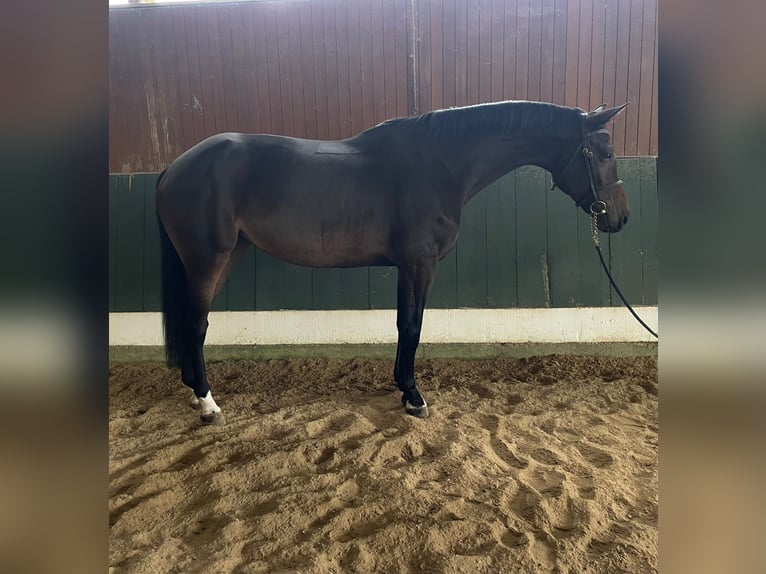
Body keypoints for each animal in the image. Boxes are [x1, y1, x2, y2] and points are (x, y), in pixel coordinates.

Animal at [154, 99, 632, 426]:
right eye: (605, 153)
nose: (621, 218)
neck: (441, 164)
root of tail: (176, 166)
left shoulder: (408, 266)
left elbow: (405, 324)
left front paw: (404, 389)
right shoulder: (420, 264)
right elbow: (412, 325)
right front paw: (414, 396)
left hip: (226, 256)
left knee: (191, 322)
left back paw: (195, 393)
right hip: (208, 258)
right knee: (195, 324)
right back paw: (208, 403)